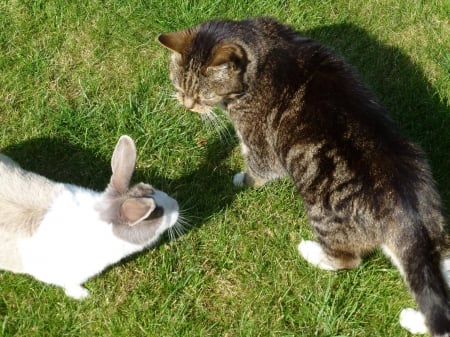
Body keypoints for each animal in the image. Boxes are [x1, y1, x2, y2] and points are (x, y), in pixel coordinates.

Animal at [159, 17, 450, 334]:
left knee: (346, 260)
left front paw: (241, 180)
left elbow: (257, 170)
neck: (262, 47)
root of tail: (407, 208)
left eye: (204, 94)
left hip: (323, 212)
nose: (186, 104)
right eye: (178, 85)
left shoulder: (259, 144)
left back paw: (311, 252)